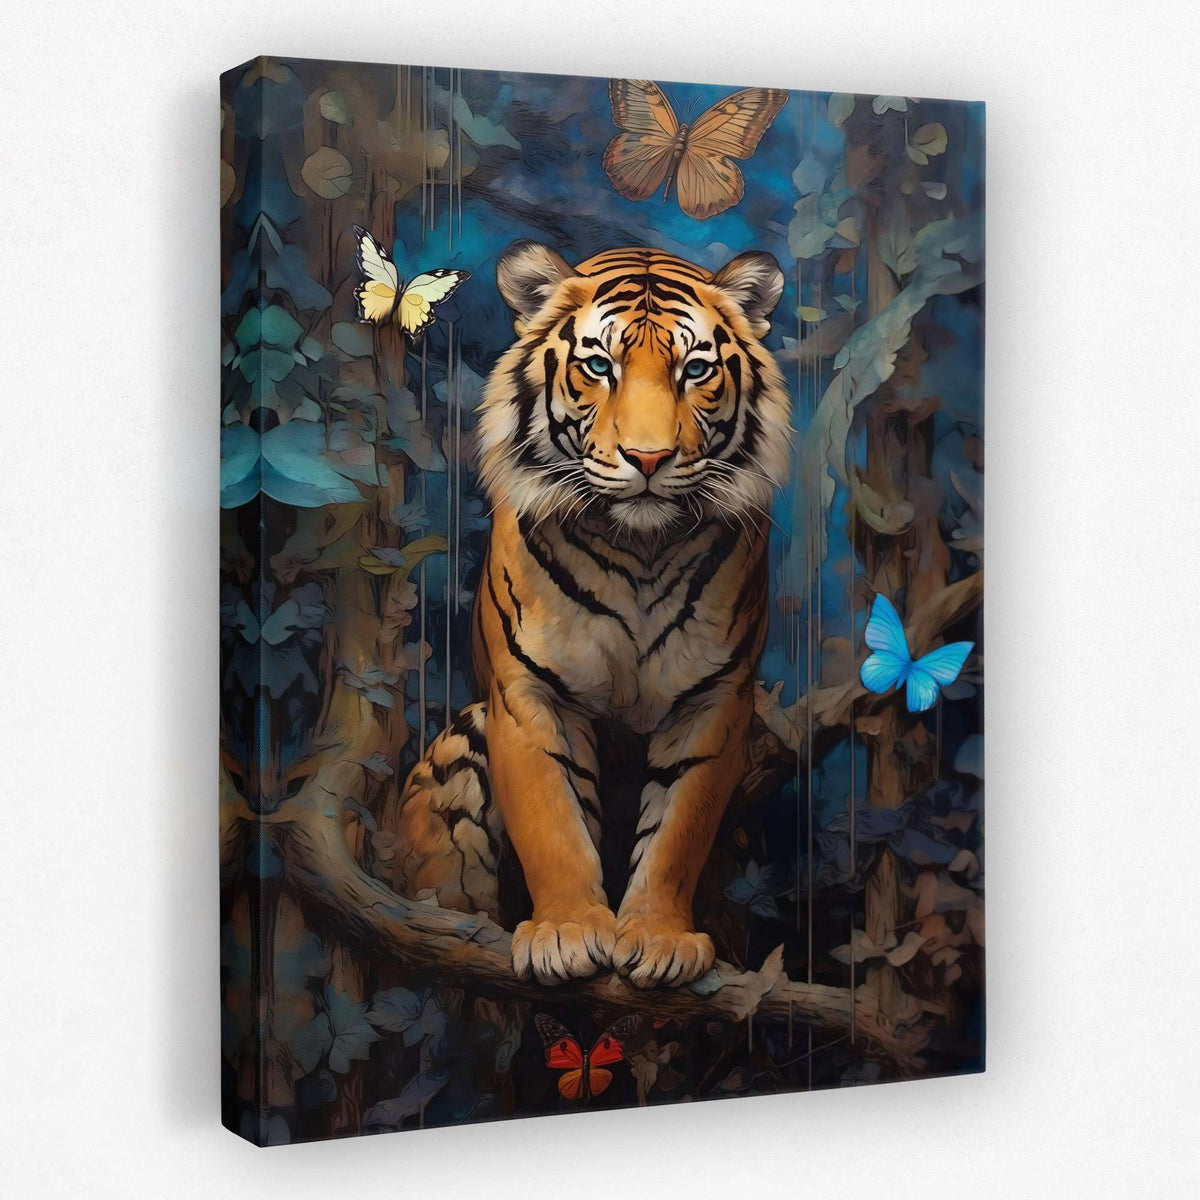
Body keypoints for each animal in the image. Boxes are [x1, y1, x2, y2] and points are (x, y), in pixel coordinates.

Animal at [392, 241, 791, 989]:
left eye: (696, 370)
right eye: (599, 366)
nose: (649, 458)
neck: (640, 548)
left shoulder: (714, 702)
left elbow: (676, 833)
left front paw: (661, 939)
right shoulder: (529, 696)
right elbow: (554, 824)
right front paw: (567, 933)